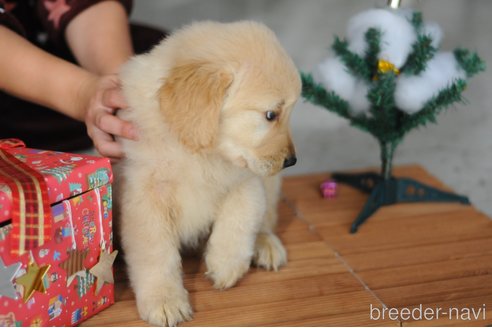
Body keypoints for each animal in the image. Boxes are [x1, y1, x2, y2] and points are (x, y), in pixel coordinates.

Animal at [116, 20, 300, 326]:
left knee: (267, 218)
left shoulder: (247, 180)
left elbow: (240, 218)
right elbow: (155, 253)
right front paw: (164, 301)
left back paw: (266, 244)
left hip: (271, 184)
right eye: (271, 115)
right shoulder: (145, 197)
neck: (201, 155)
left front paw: (225, 265)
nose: (292, 161)